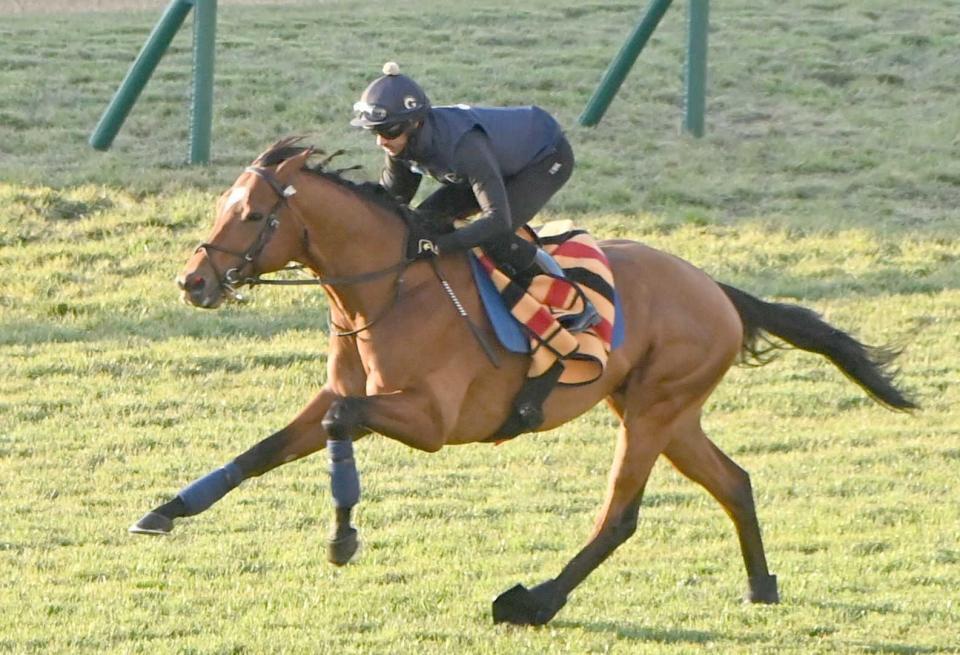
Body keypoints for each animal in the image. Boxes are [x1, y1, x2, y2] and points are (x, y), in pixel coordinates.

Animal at [130, 138, 915, 626]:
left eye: (254, 214)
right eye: (222, 207)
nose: (193, 281)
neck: (385, 291)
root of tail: (718, 289)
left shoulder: (431, 422)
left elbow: (337, 425)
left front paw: (343, 537)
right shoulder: (341, 392)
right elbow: (266, 447)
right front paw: (167, 509)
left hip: (653, 413)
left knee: (620, 516)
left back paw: (533, 602)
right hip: (668, 412)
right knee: (735, 481)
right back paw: (760, 584)